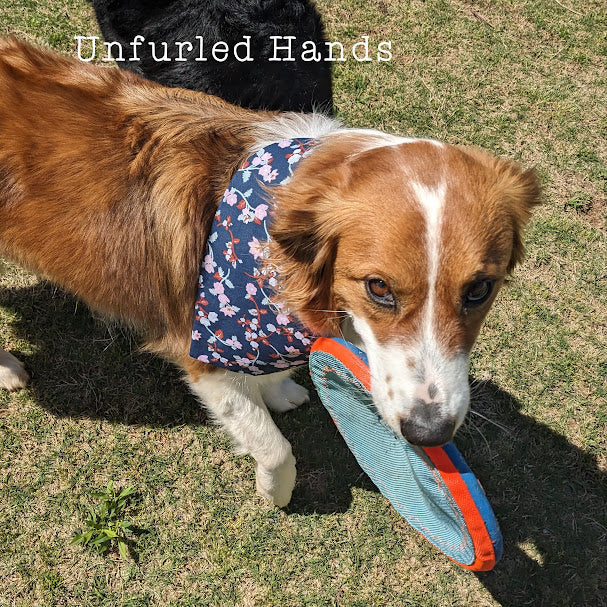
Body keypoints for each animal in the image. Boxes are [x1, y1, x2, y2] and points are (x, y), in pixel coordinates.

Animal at [0, 38, 540, 508]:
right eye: (378, 288)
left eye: (480, 290)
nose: (429, 433)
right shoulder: (202, 352)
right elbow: (274, 446)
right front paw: (275, 492)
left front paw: (279, 391)